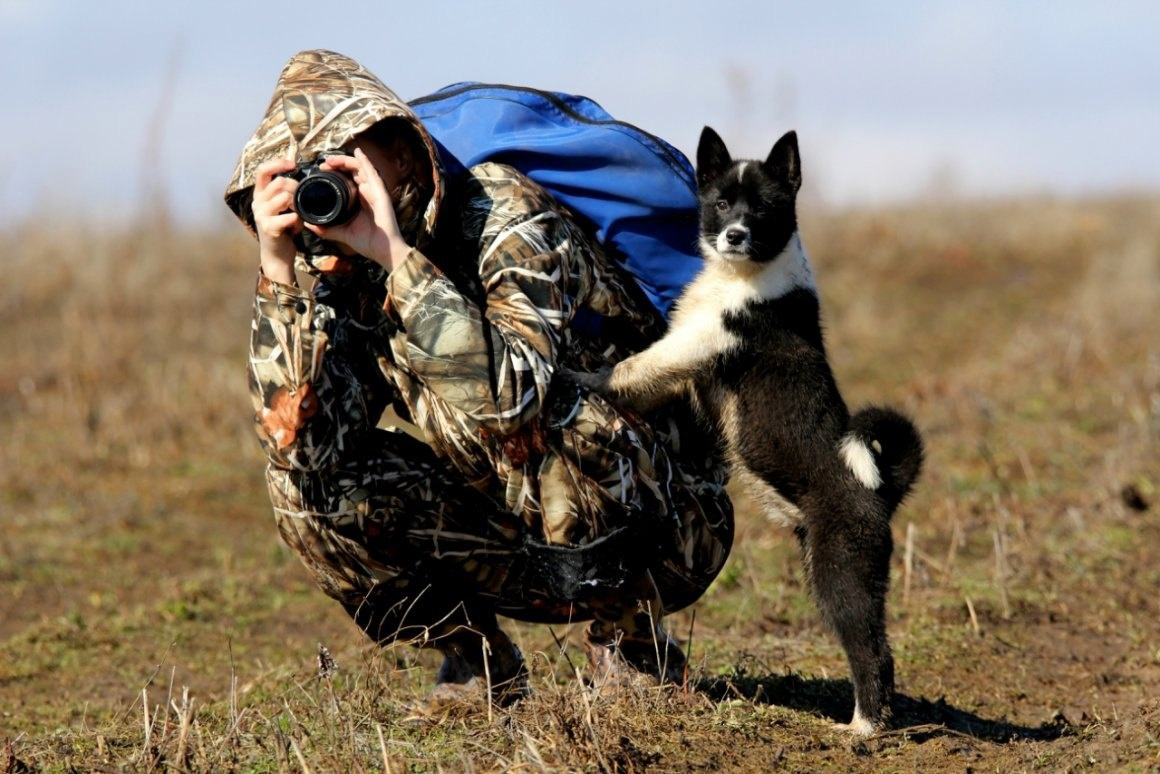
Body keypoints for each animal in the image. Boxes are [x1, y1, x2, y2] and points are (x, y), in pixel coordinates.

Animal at [580, 125, 923, 733]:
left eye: (762, 209)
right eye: (720, 204)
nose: (735, 234)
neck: (744, 276)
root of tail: (881, 491)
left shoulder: (694, 346)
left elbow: (629, 370)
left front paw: (578, 375)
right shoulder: (686, 360)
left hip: (842, 573)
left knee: (871, 650)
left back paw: (862, 727)